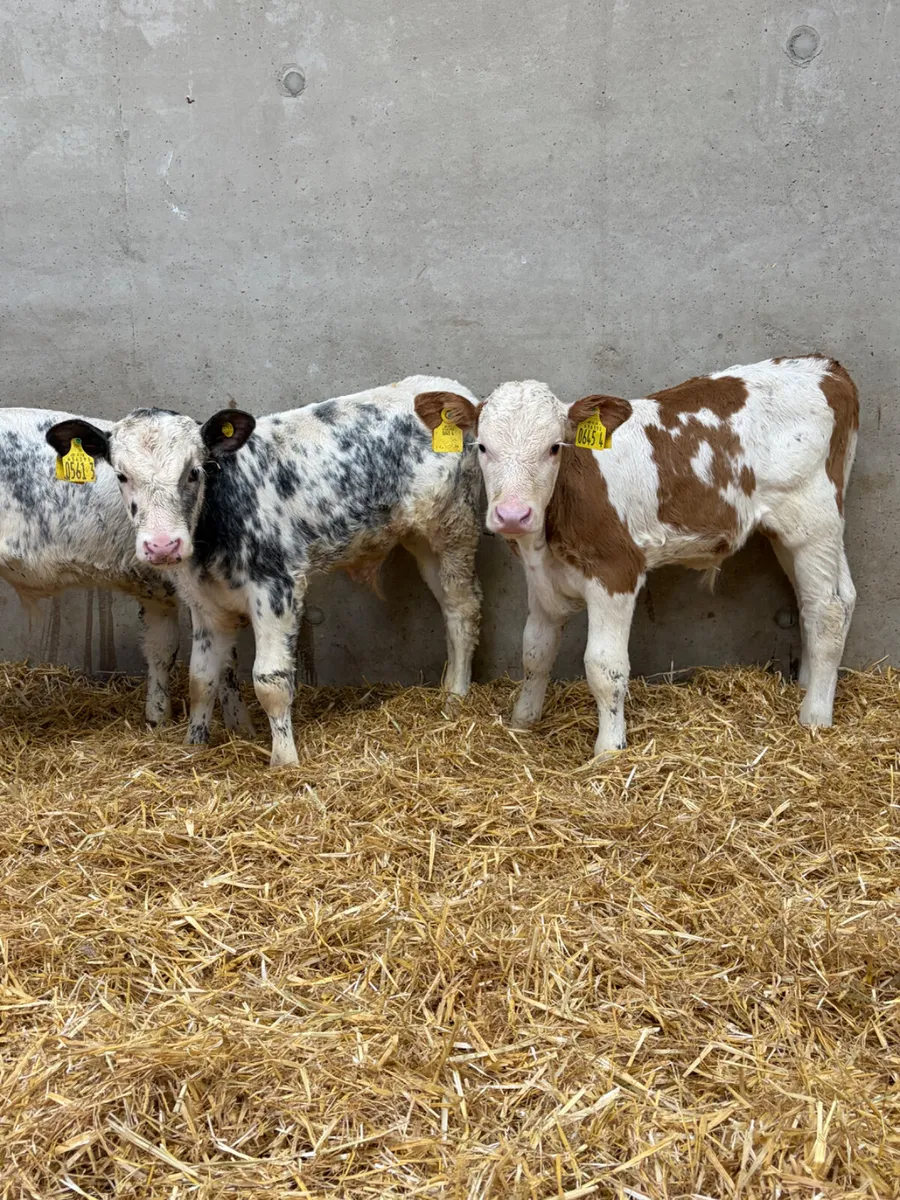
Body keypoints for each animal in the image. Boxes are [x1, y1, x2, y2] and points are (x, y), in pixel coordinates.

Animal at [0, 408, 250, 730]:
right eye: (121, 475)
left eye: (194, 472)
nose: (162, 546)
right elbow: (224, 661)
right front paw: (241, 726)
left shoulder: (156, 589)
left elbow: (162, 649)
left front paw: (159, 717)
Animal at [46, 376, 483, 767]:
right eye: (121, 475)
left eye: (194, 471)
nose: (163, 545)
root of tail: (451, 388)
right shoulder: (204, 603)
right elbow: (201, 679)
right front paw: (193, 746)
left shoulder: (277, 590)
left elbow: (269, 680)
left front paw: (284, 761)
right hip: (423, 539)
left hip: (454, 530)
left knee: (463, 610)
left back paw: (455, 697)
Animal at [412, 356, 859, 757]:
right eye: (482, 446)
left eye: (554, 447)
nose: (512, 514)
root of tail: (824, 366)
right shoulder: (541, 579)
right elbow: (535, 651)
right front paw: (523, 721)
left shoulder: (616, 572)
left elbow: (604, 667)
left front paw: (609, 749)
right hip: (796, 532)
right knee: (832, 598)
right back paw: (811, 685)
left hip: (811, 520)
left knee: (828, 608)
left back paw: (815, 716)